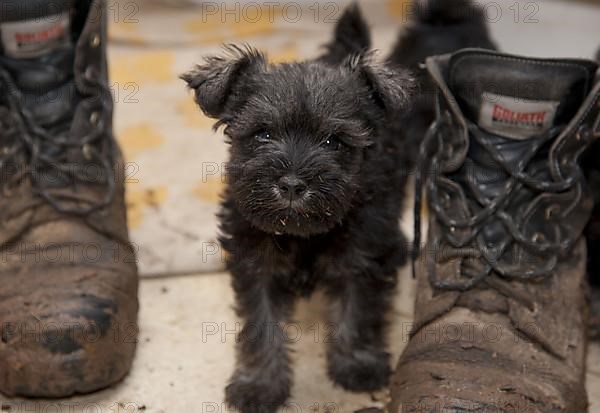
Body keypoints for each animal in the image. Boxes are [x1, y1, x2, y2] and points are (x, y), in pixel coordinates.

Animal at [183, 6, 414, 412]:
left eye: (334, 141)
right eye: (262, 134)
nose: (292, 184)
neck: (303, 233)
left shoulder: (362, 258)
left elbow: (359, 312)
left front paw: (357, 364)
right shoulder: (255, 264)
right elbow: (261, 325)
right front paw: (259, 384)